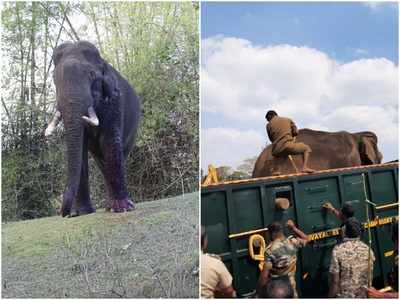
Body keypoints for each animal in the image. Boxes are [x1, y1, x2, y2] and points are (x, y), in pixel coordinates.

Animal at [45, 41, 141, 217]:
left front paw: (123, 209)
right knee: (101, 162)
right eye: (54, 79)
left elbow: (109, 140)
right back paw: (109, 206)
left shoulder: (114, 101)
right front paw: (82, 213)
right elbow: (81, 148)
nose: (65, 214)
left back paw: (117, 206)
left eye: (91, 74)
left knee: (118, 155)